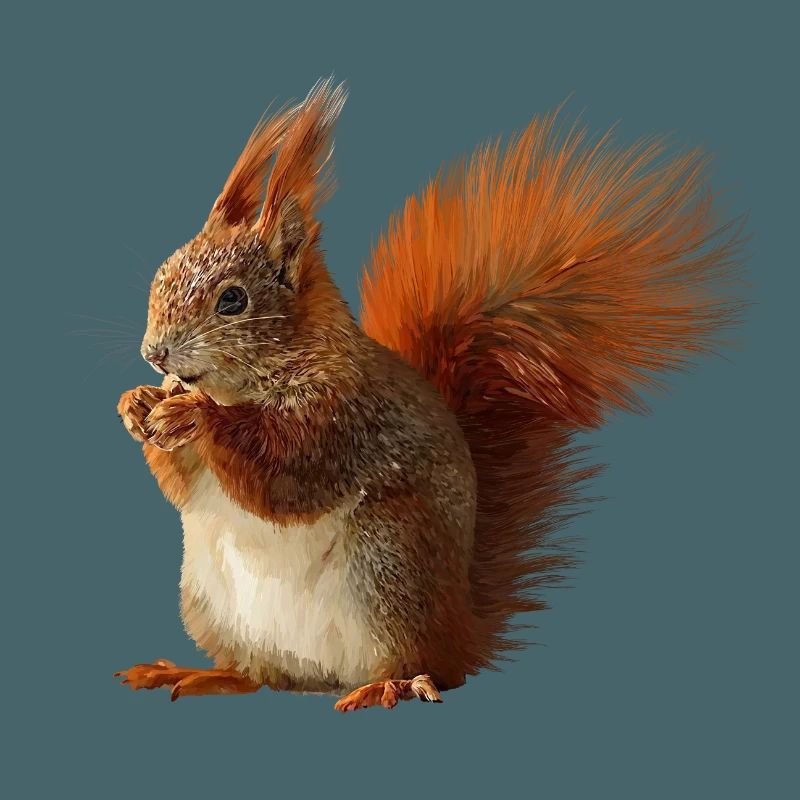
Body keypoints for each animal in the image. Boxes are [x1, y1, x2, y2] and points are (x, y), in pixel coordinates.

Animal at [115, 78, 744, 711]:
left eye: (232, 300)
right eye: (164, 272)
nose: (154, 353)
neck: (245, 384)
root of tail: (461, 628)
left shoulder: (343, 419)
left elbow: (282, 474)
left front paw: (195, 415)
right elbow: (181, 486)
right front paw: (137, 404)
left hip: (390, 562)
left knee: (426, 667)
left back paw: (390, 684)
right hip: (212, 602)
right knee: (263, 675)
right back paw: (203, 674)